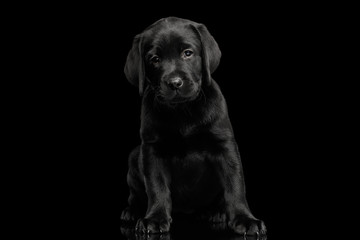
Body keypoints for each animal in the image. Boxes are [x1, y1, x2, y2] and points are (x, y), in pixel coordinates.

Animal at [122, 16, 266, 236]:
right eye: (154, 59)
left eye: (187, 53)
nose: (174, 83)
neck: (183, 111)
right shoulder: (152, 150)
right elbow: (156, 187)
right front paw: (154, 218)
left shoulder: (225, 146)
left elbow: (235, 185)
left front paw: (246, 219)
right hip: (134, 156)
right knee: (135, 195)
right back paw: (131, 211)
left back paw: (216, 212)